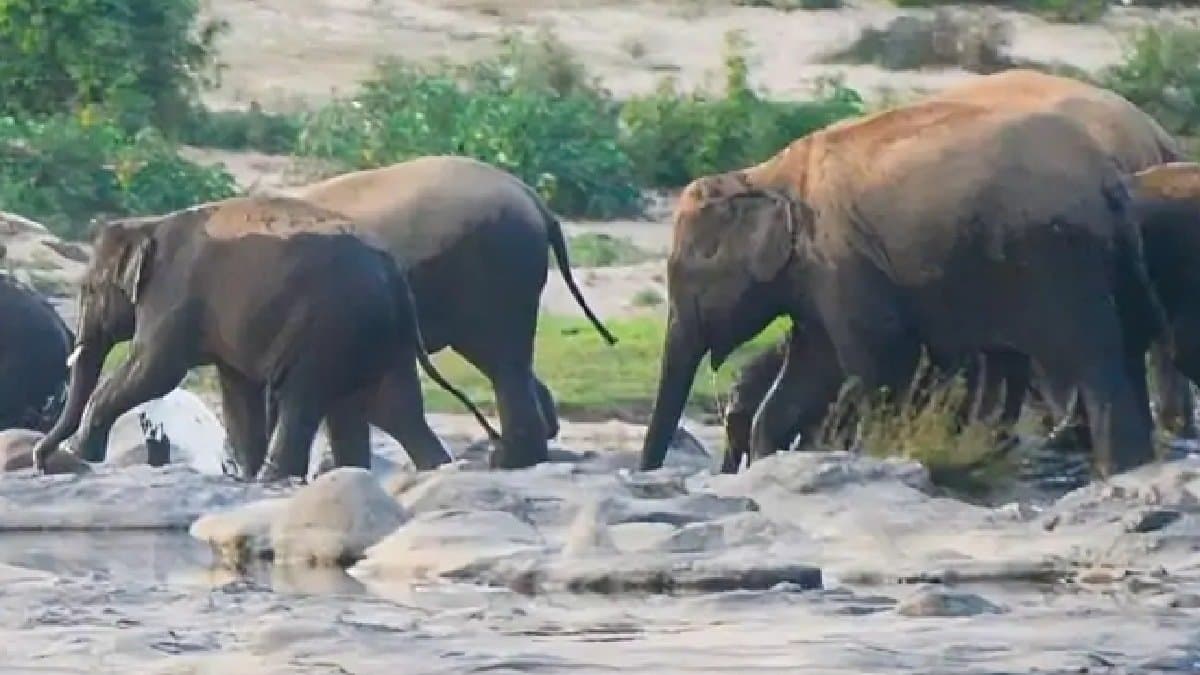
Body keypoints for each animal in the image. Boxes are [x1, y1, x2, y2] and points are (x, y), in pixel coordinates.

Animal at [31, 195, 498, 481]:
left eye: (89, 289)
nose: (39, 458)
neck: (150, 223)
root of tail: (394, 274)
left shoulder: (172, 296)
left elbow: (154, 371)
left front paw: (79, 452)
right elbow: (237, 390)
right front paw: (242, 475)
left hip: (329, 329)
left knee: (305, 396)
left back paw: (278, 476)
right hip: (376, 335)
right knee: (390, 408)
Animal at [639, 101, 1167, 478]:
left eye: (689, 274)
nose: (646, 475)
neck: (764, 174)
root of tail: (1109, 180)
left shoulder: (842, 258)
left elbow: (879, 364)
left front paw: (884, 454)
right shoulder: (819, 275)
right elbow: (814, 366)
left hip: (1057, 261)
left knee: (1093, 359)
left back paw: (1116, 468)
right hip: (1111, 257)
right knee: (1125, 348)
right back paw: (1132, 467)